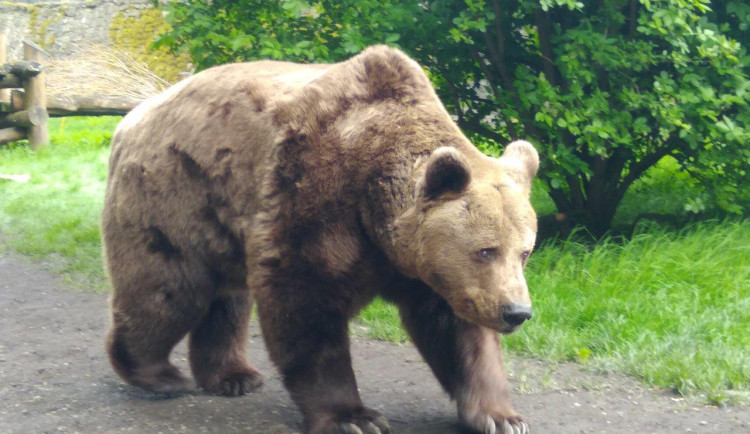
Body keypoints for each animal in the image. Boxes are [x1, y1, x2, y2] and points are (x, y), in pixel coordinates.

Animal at [104, 45, 540, 434]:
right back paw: (157, 373)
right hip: (176, 192)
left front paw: (502, 417)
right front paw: (355, 417)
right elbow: (306, 302)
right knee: (169, 289)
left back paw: (234, 376)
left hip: (226, 223)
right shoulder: (314, 191)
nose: (517, 311)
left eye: (524, 253)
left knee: (226, 300)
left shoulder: (431, 274)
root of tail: (133, 117)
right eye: (485, 250)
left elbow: (459, 334)